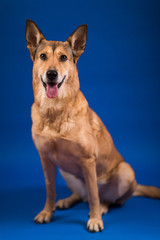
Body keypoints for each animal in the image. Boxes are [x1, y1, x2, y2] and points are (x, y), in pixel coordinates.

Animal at [25, 20, 160, 232]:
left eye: (63, 58)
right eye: (43, 56)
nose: (52, 74)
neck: (55, 112)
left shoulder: (88, 161)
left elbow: (94, 194)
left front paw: (95, 219)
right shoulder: (45, 159)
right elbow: (50, 190)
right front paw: (47, 212)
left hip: (125, 171)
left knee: (108, 198)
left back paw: (103, 207)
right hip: (65, 171)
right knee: (82, 195)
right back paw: (66, 201)